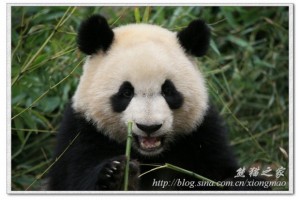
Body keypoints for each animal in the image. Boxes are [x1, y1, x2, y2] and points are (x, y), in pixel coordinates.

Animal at [48, 14, 268, 191]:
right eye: (126, 92)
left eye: (168, 90)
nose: (149, 127)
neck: (150, 157)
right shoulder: (83, 132)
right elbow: (73, 180)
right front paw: (117, 175)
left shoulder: (202, 135)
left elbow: (222, 173)